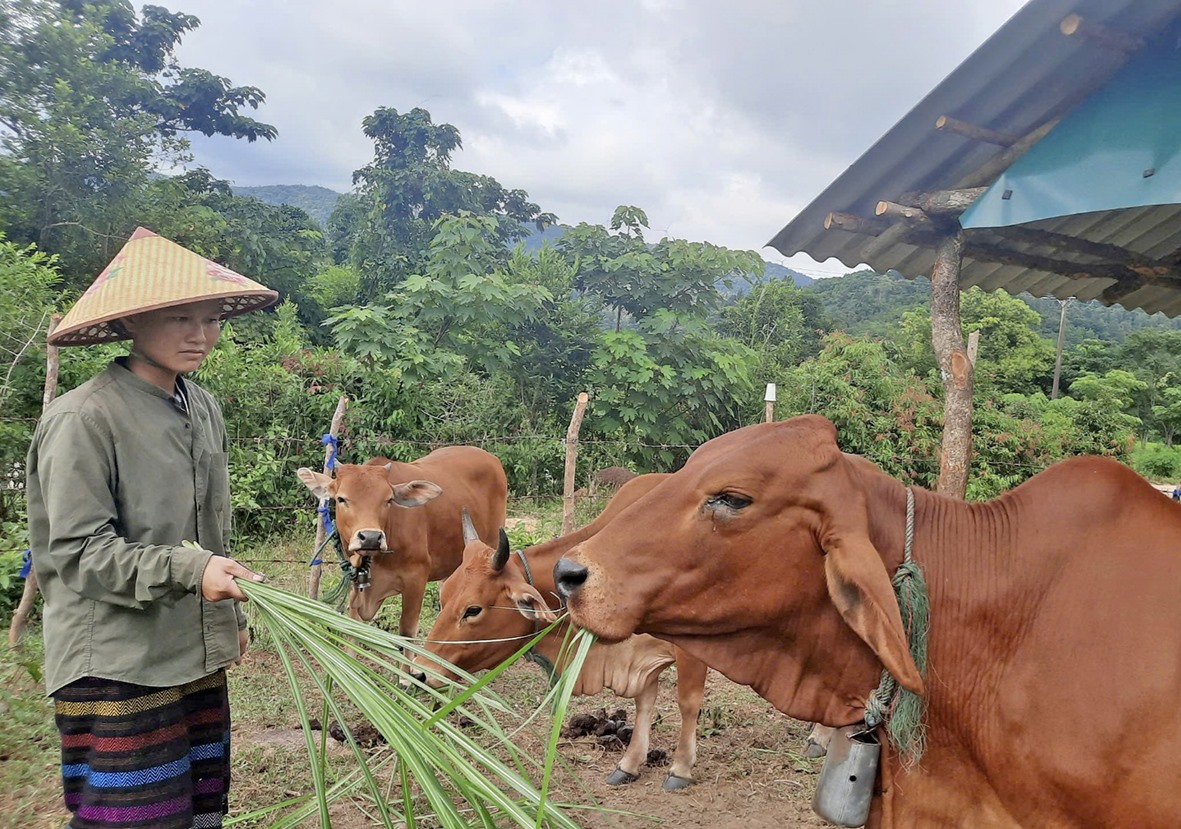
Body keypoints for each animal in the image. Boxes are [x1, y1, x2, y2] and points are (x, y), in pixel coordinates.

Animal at [297, 444, 505, 637]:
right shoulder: (355, 583)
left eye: (388, 500)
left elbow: (406, 634)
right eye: (341, 499)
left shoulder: (416, 580)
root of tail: (491, 458)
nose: (371, 537)